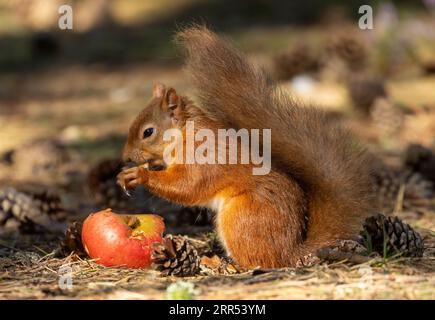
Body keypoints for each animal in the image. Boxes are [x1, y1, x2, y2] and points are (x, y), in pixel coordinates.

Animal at [117, 26, 376, 268]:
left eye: (148, 132)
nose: (126, 157)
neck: (184, 134)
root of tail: (293, 252)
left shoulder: (202, 157)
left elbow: (186, 185)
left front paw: (139, 175)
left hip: (241, 217)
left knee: (258, 260)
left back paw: (219, 263)